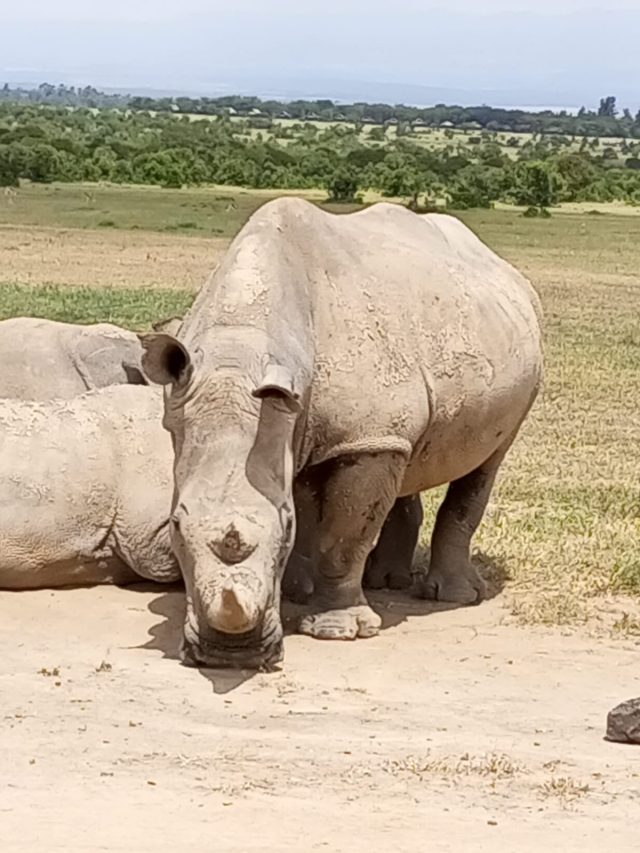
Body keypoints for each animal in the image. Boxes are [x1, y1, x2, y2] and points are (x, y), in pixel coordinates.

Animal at [142, 199, 543, 669]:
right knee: (407, 456)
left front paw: (337, 630)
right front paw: (296, 593)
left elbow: (344, 533)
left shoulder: (360, 436)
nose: (230, 657)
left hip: (521, 363)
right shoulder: (304, 426)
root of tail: (503, 267)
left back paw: (454, 596)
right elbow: (314, 507)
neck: (239, 351)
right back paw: (384, 581)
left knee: (487, 462)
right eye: (174, 525)